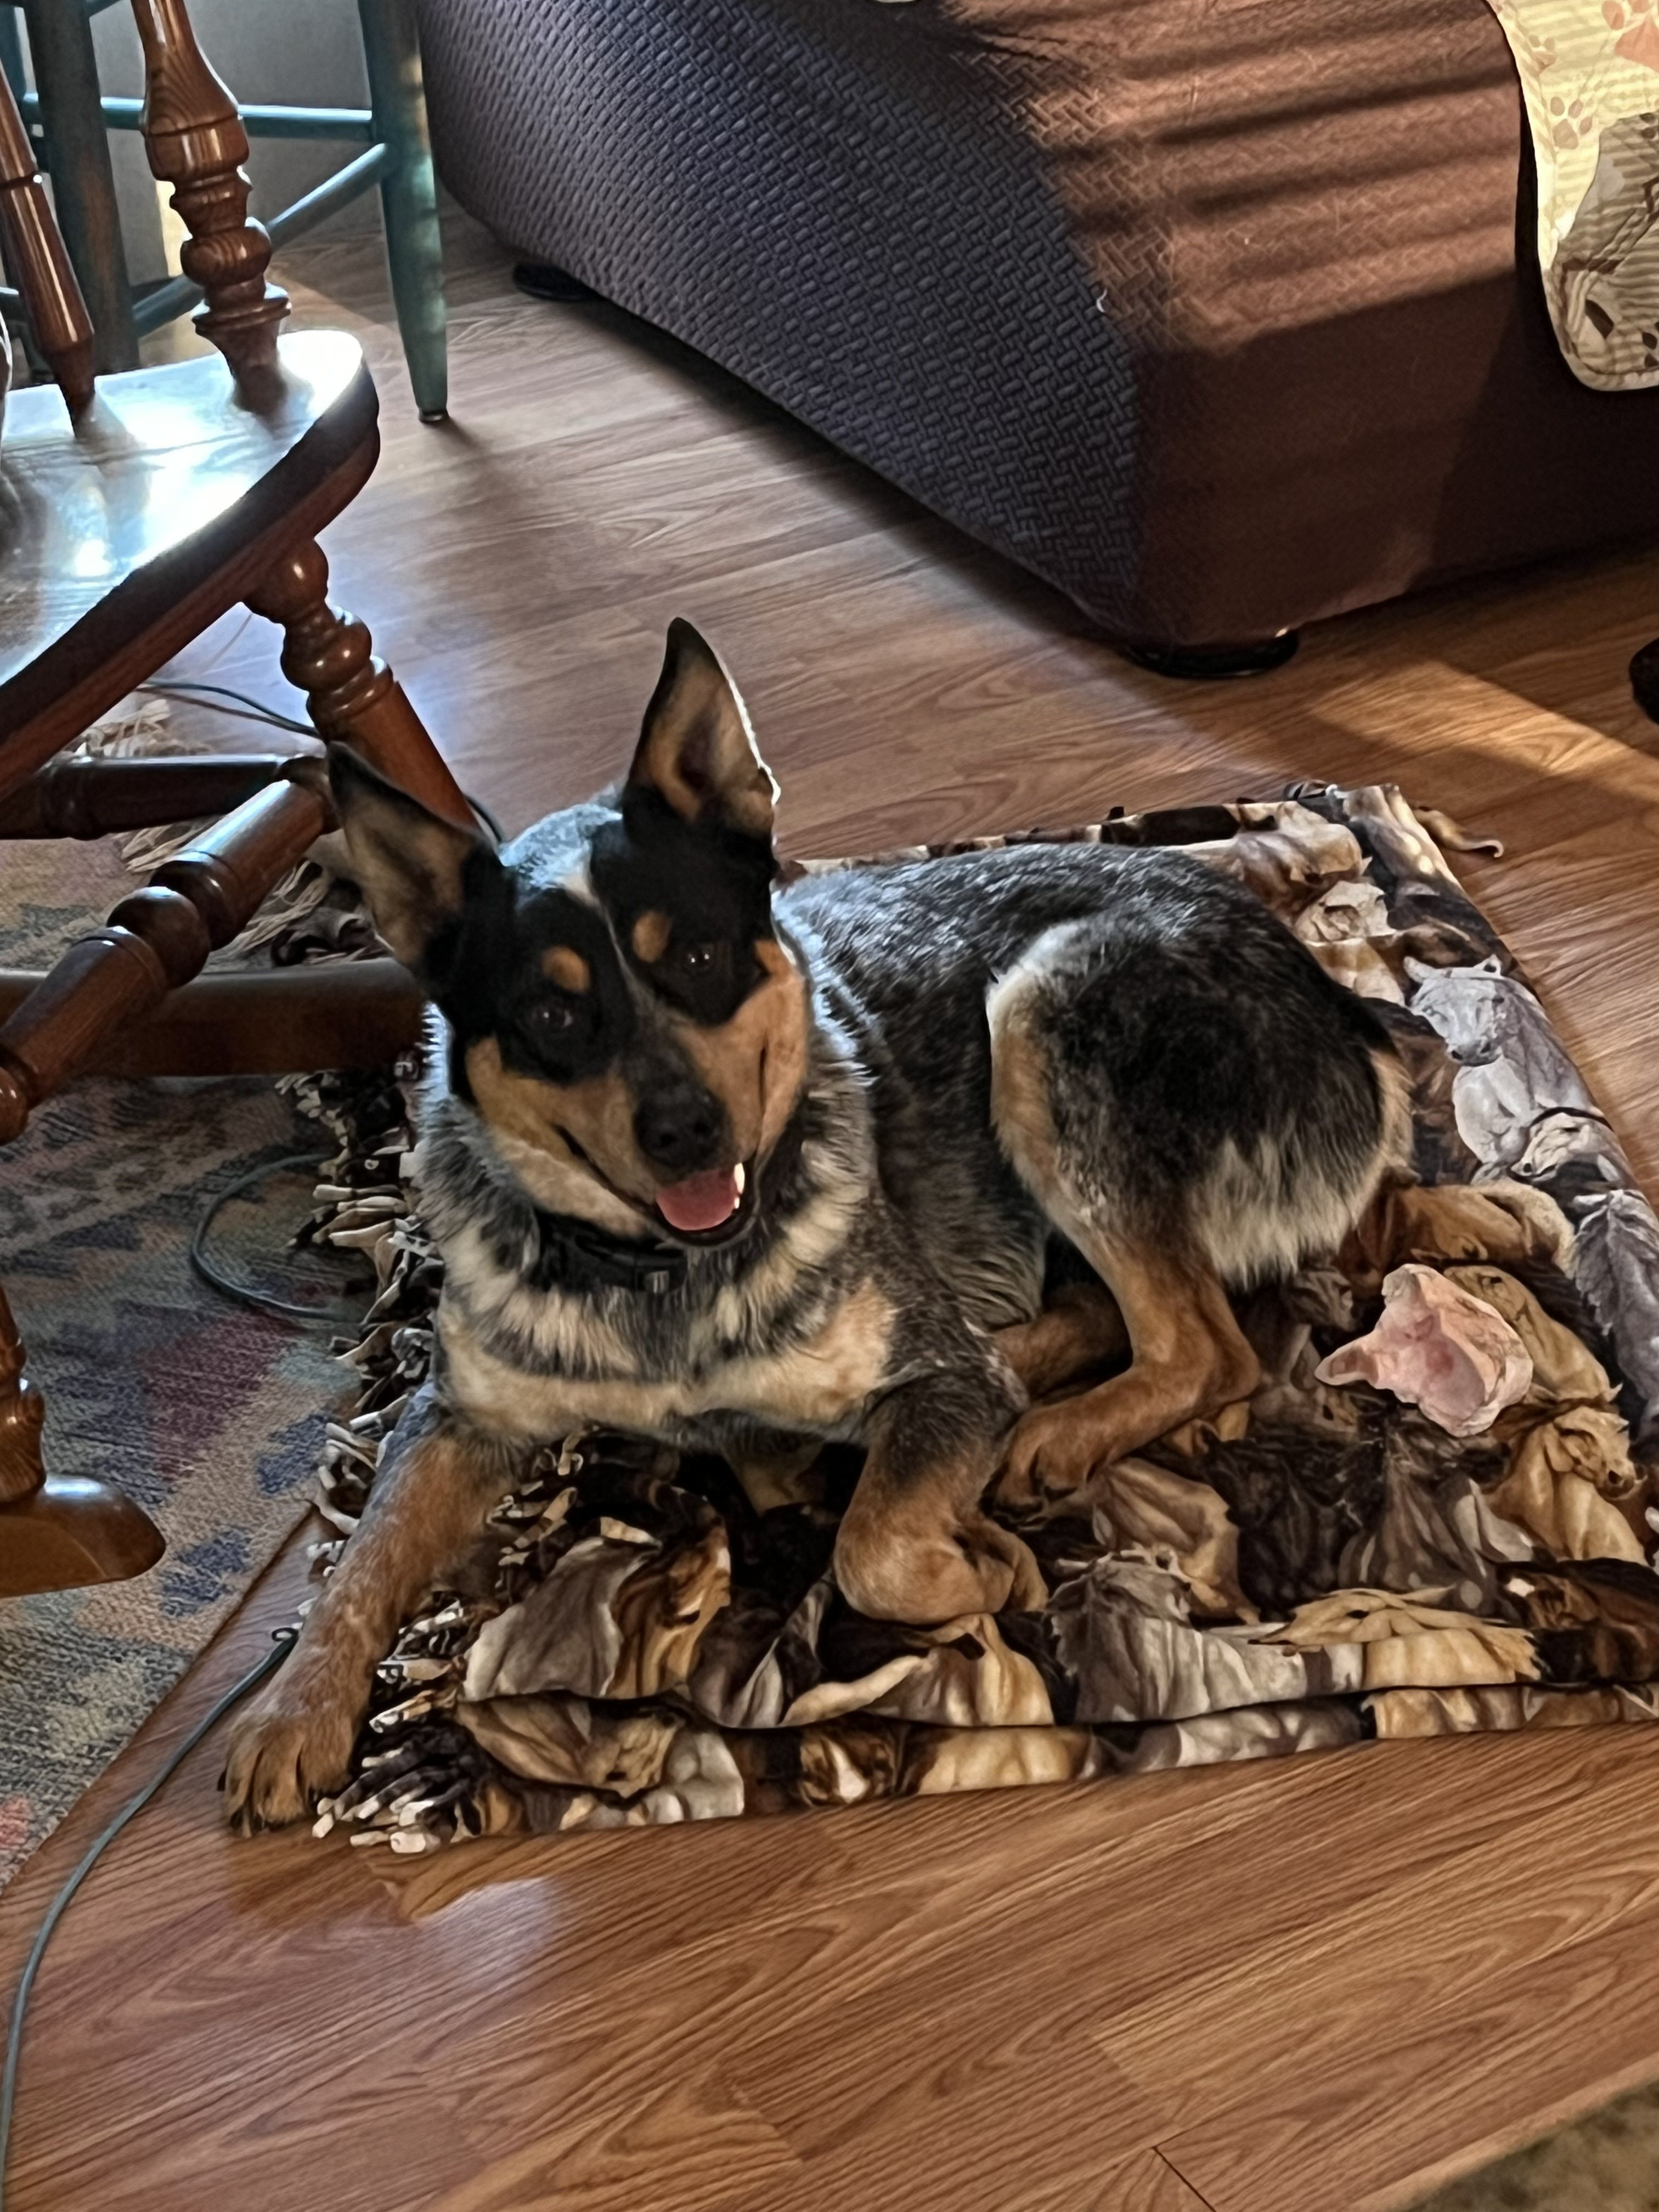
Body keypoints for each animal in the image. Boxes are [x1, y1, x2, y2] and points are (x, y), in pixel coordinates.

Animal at [224, 620, 1410, 1826]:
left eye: (698, 957)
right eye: (552, 1013)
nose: (685, 1130)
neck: (661, 1284)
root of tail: (1341, 1007)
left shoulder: (933, 1386)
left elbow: (872, 1548)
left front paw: (976, 1562)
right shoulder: (459, 1415)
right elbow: (364, 1555)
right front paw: (289, 1714)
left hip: (1043, 1010)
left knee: (1200, 1343)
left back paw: (1052, 1423)